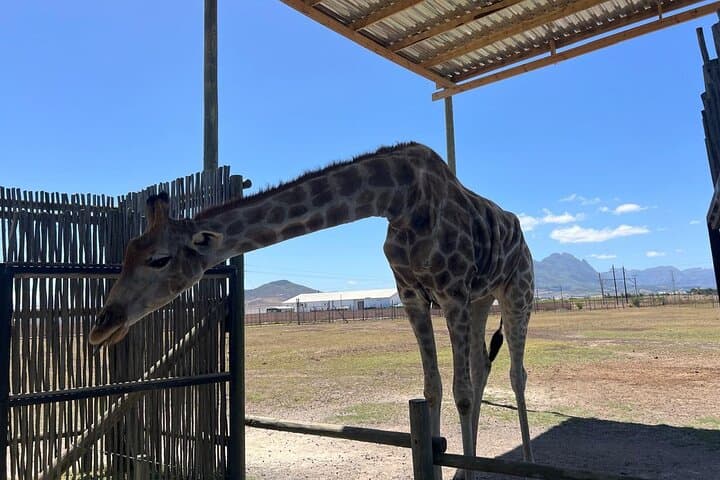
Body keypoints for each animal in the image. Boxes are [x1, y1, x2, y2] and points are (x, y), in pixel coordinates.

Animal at [90, 142, 535, 478]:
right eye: (126, 252)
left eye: (159, 260)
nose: (102, 325)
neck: (401, 200)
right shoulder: (412, 295)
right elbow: (433, 387)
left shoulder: (452, 291)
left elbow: (460, 392)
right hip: (481, 298)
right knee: (482, 365)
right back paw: (468, 466)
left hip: (517, 291)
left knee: (516, 372)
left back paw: (527, 462)